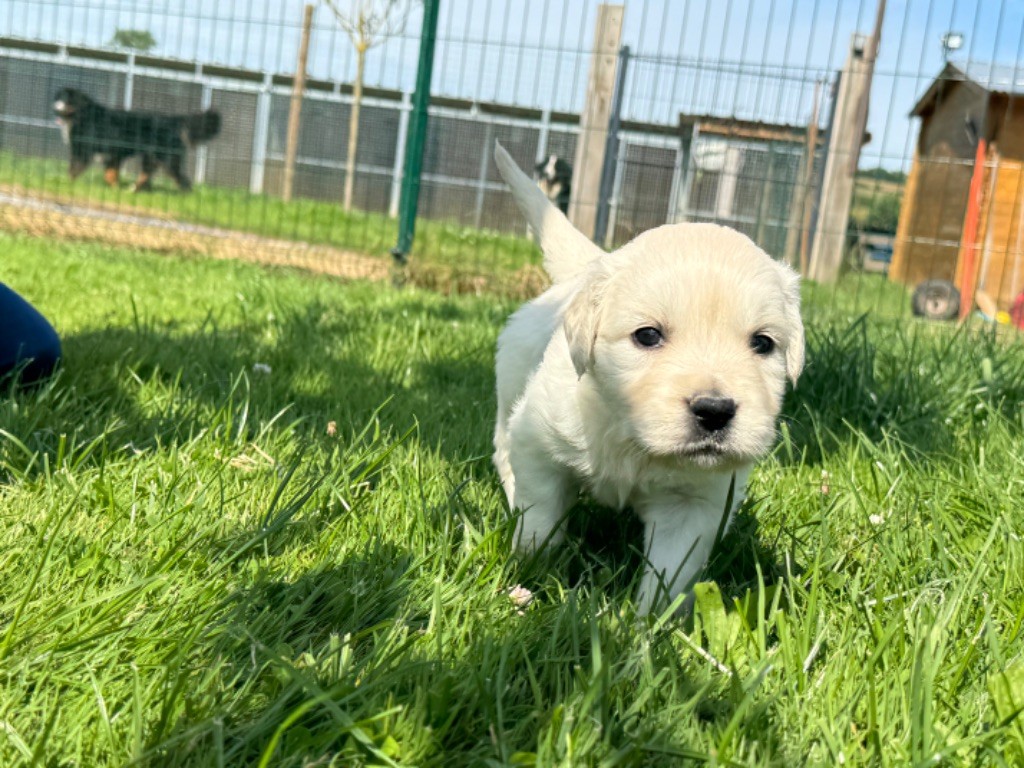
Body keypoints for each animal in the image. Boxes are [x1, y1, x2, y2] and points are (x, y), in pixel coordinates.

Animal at [52, 88, 221, 192]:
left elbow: (74, 170)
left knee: (181, 179)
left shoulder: (84, 151)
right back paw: (133, 190)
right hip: (151, 157)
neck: (83, 114)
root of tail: (173, 120)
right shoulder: (113, 154)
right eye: (58, 97)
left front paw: (68, 184)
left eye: (65, 99)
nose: (54, 107)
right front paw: (115, 188)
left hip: (167, 158)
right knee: (147, 174)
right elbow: (110, 174)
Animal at [491, 143, 802, 614]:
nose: (715, 411)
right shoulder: (540, 444)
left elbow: (670, 575)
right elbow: (541, 518)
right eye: (648, 335)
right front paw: (532, 571)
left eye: (763, 343)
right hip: (510, 391)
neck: (632, 439)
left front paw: (649, 625)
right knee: (503, 450)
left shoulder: (695, 504)